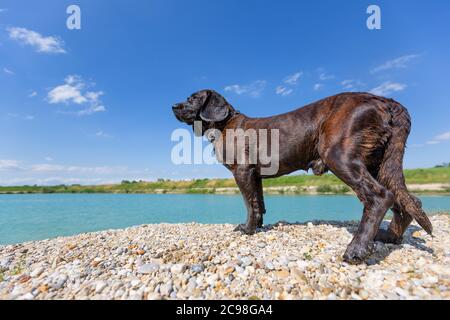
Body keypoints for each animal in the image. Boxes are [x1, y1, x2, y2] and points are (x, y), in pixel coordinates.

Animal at [172, 89, 432, 262]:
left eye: (193, 98)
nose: (173, 106)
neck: (224, 123)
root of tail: (384, 100)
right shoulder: (256, 175)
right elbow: (259, 203)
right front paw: (258, 226)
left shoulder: (243, 171)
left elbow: (249, 204)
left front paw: (247, 229)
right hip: (381, 164)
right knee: (408, 200)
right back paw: (388, 237)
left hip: (340, 156)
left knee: (380, 196)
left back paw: (356, 249)